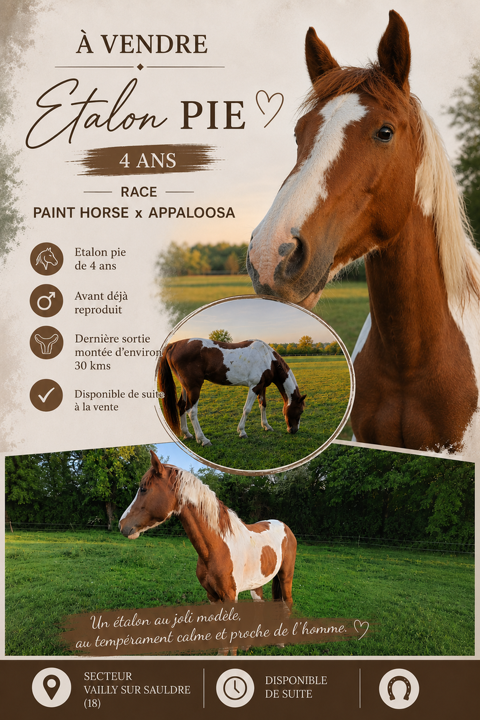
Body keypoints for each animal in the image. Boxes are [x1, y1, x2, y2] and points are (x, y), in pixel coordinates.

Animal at [119, 452, 297, 641]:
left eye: (143, 489)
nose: (121, 524)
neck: (217, 548)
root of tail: (284, 526)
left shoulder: (230, 597)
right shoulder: (212, 596)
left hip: (285, 576)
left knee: (288, 601)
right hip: (258, 582)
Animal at [157, 338, 306, 446]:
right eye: (301, 411)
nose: (294, 430)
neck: (268, 359)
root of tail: (174, 345)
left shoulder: (262, 386)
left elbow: (263, 405)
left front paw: (266, 426)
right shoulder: (254, 387)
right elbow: (247, 409)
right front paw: (242, 431)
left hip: (185, 386)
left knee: (181, 406)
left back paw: (187, 434)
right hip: (193, 387)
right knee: (191, 411)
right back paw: (203, 439)